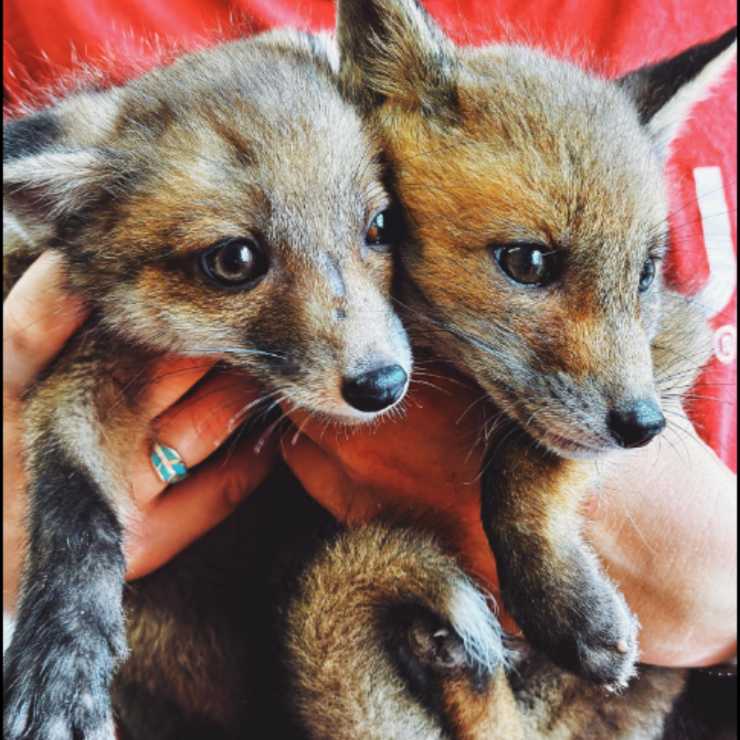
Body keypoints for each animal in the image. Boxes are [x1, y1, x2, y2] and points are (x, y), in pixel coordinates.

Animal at [2, 29, 412, 739]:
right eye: (234, 261)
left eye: (380, 227)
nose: (382, 384)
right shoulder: (76, 374)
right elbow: (71, 512)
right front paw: (61, 656)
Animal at [334, 0, 736, 689]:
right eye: (527, 262)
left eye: (646, 274)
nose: (643, 427)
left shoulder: (680, 335)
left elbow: (515, 465)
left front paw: (557, 601)